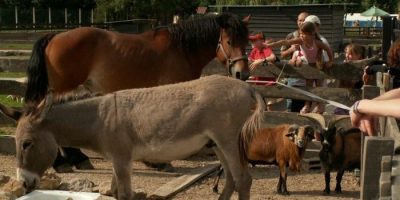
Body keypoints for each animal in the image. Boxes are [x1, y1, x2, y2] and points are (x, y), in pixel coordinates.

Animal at [24, 12, 250, 103]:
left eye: (247, 40)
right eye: (229, 41)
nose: (243, 73)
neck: (182, 48)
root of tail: (55, 36)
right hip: (62, 88)